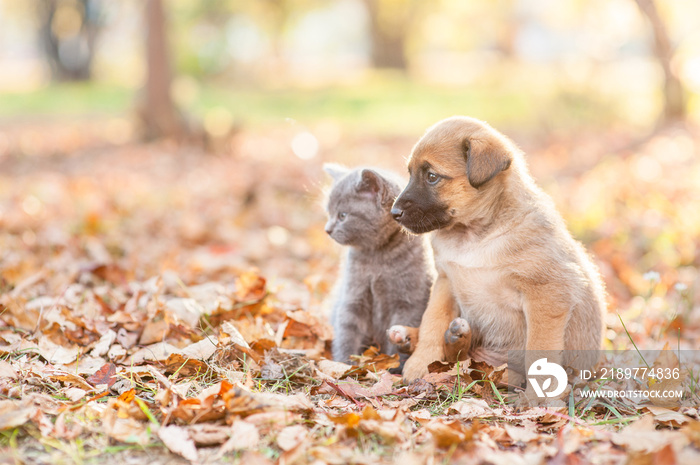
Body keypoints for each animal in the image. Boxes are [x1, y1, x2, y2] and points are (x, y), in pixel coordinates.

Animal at [322, 163, 432, 362]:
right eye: (329, 213)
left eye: (342, 215)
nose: (327, 230)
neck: (378, 256)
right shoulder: (353, 296)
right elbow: (347, 330)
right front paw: (343, 362)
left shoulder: (409, 302)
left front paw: (393, 363)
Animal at [392, 114, 604, 390]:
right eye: (410, 174)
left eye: (431, 176)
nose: (394, 213)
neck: (474, 236)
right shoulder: (446, 280)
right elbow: (432, 321)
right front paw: (420, 363)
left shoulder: (548, 293)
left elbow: (540, 348)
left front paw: (540, 395)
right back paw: (417, 336)